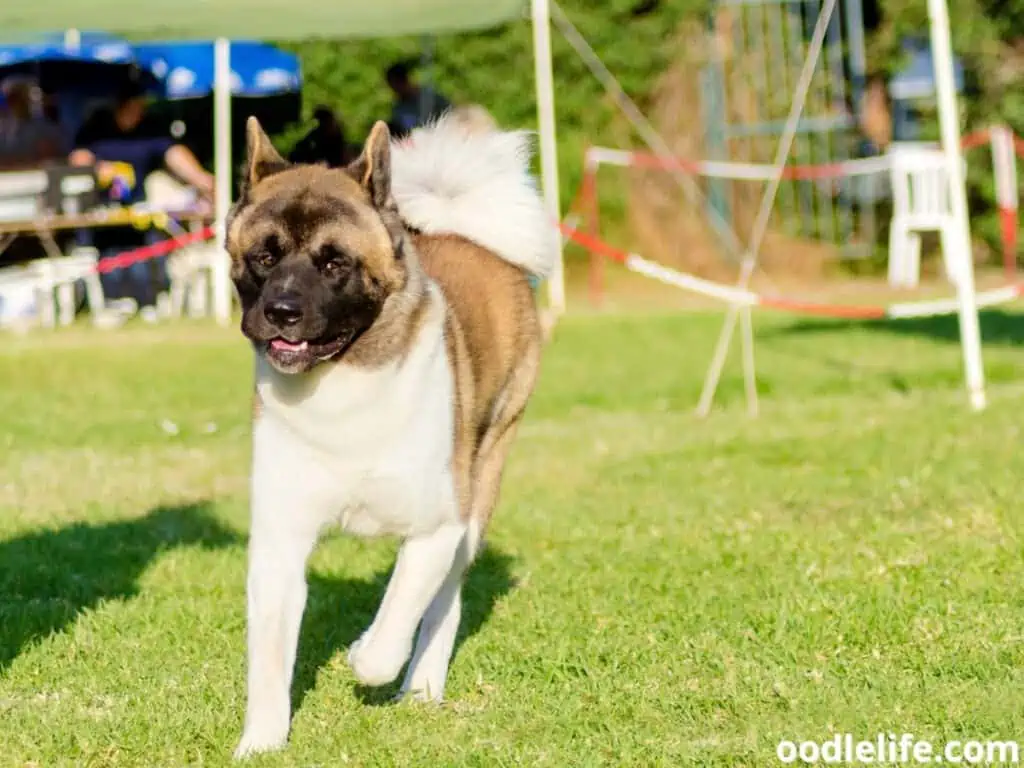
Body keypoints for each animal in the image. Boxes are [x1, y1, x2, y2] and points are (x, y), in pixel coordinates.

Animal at [227, 114, 557, 757]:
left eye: (335, 263)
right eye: (263, 257)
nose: (281, 311)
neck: (341, 387)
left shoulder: (437, 530)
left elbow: (390, 635)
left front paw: (363, 655)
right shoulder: (279, 545)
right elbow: (268, 659)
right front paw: (262, 741)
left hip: (480, 493)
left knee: (443, 607)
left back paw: (422, 687)